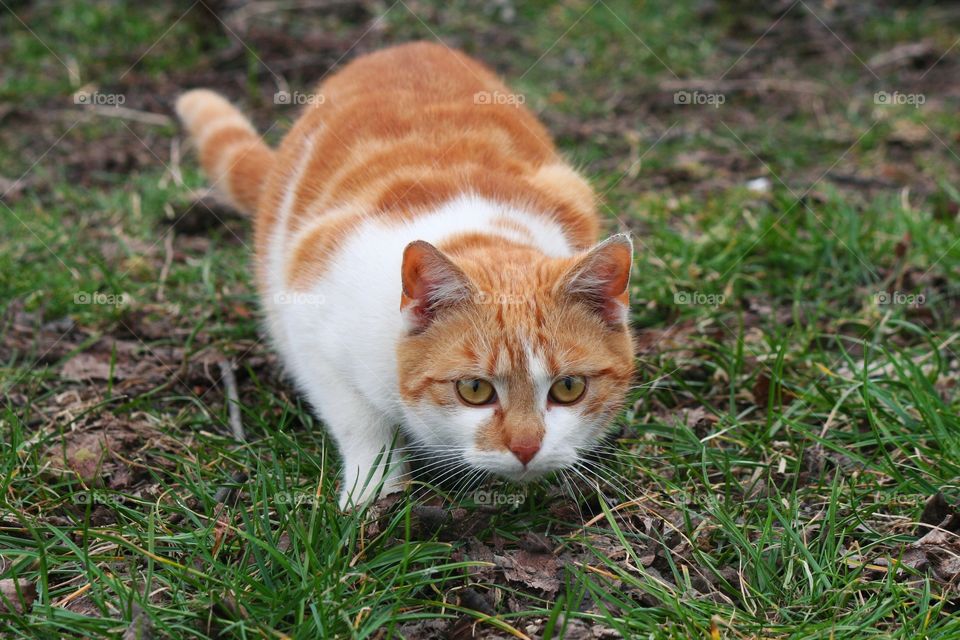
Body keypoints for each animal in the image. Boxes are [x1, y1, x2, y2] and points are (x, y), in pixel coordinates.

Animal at [176, 41, 632, 510]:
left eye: (569, 388)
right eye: (474, 390)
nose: (526, 447)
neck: (478, 235)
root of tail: (408, 46)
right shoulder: (309, 325)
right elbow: (361, 423)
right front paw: (373, 494)